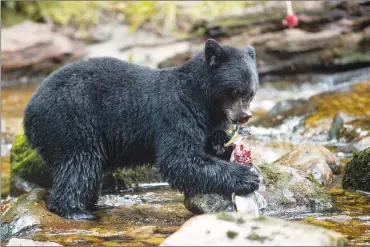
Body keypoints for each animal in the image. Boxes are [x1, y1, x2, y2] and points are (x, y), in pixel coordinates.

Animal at [23, 39, 260, 220]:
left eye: (251, 92)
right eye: (235, 90)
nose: (244, 116)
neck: (202, 98)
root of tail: (29, 112)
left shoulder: (213, 118)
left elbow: (211, 139)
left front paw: (224, 144)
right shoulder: (176, 113)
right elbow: (179, 158)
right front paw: (247, 176)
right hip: (72, 121)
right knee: (79, 165)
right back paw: (74, 210)